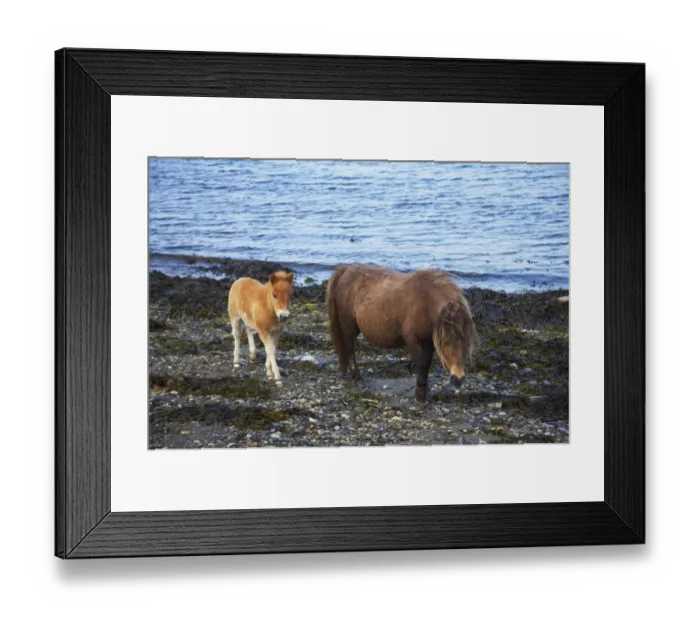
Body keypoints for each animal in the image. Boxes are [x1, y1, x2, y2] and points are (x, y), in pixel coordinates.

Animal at [326, 265, 477, 402]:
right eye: (445, 341)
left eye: (467, 343)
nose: (458, 379)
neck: (425, 302)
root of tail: (346, 269)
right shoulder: (412, 339)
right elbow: (422, 363)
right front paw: (420, 395)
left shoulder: (428, 341)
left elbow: (427, 363)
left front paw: (424, 391)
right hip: (349, 326)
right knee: (350, 348)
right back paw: (356, 377)